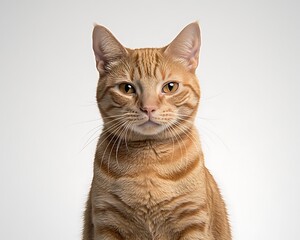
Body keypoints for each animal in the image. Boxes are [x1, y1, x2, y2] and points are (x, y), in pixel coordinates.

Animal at [83, 22, 231, 240]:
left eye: (170, 87)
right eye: (127, 88)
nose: (148, 108)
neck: (149, 165)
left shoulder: (193, 223)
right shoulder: (106, 222)